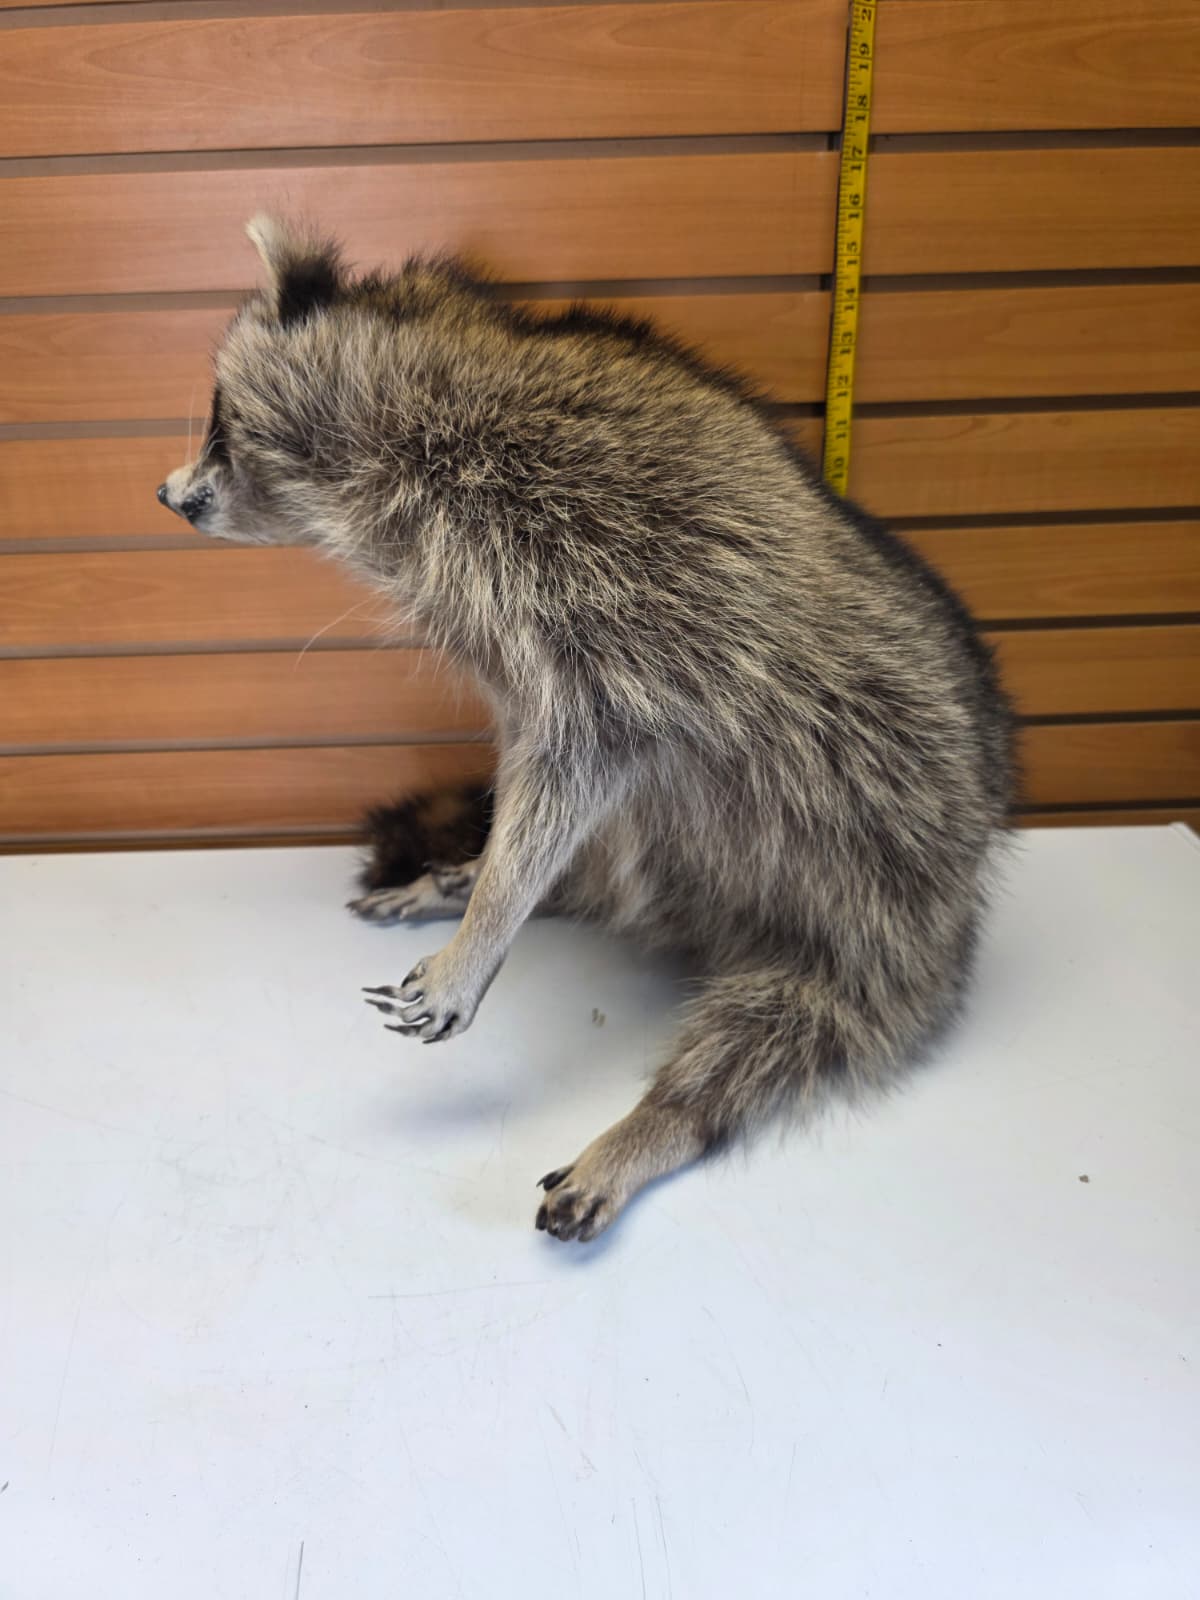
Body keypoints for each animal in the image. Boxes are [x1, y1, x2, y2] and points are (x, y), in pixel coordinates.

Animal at [159, 216, 1016, 1243]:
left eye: (217, 419)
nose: (167, 494)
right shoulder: (503, 618)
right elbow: (536, 778)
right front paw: (486, 879)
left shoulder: (600, 559)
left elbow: (584, 763)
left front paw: (492, 916)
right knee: (614, 861)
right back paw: (485, 881)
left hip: (886, 922)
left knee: (774, 1031)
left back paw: (654, 1121)